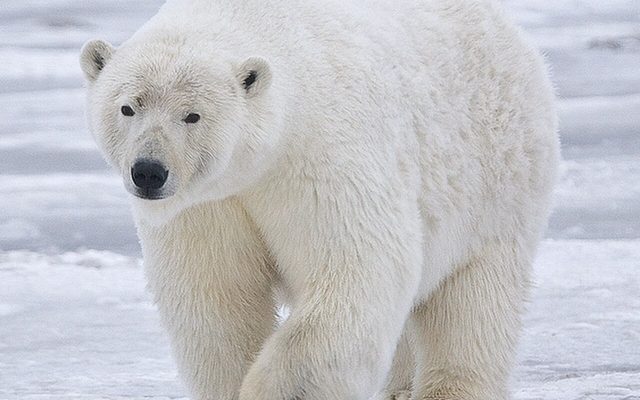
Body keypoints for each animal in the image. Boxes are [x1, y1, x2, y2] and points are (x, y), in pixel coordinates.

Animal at [79, 0, 559, 399]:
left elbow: (357, 269)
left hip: (497, 180)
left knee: (474, 303)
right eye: (128, 107)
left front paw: (270, 391)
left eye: (192, 115)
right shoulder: (208, 205)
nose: (149, 171)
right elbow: (217, 296)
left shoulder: (321, 155)